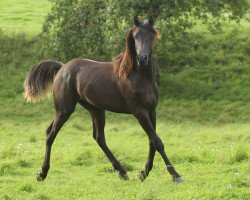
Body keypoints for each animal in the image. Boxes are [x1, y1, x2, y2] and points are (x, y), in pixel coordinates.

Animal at [23, 16, 183, 184]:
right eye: (135, 37)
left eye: (151, 36)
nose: (142, 58)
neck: (139, 78)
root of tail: (62, 67)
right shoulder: (139, 112)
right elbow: (157, 141)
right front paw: (175, 174)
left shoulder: (151, 110)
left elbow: (152, 140)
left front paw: (143, 173)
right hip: (64, 110)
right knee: (51, 134)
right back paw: (42, 173)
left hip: (96, 109)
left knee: (98, 137)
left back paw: (122, 172)